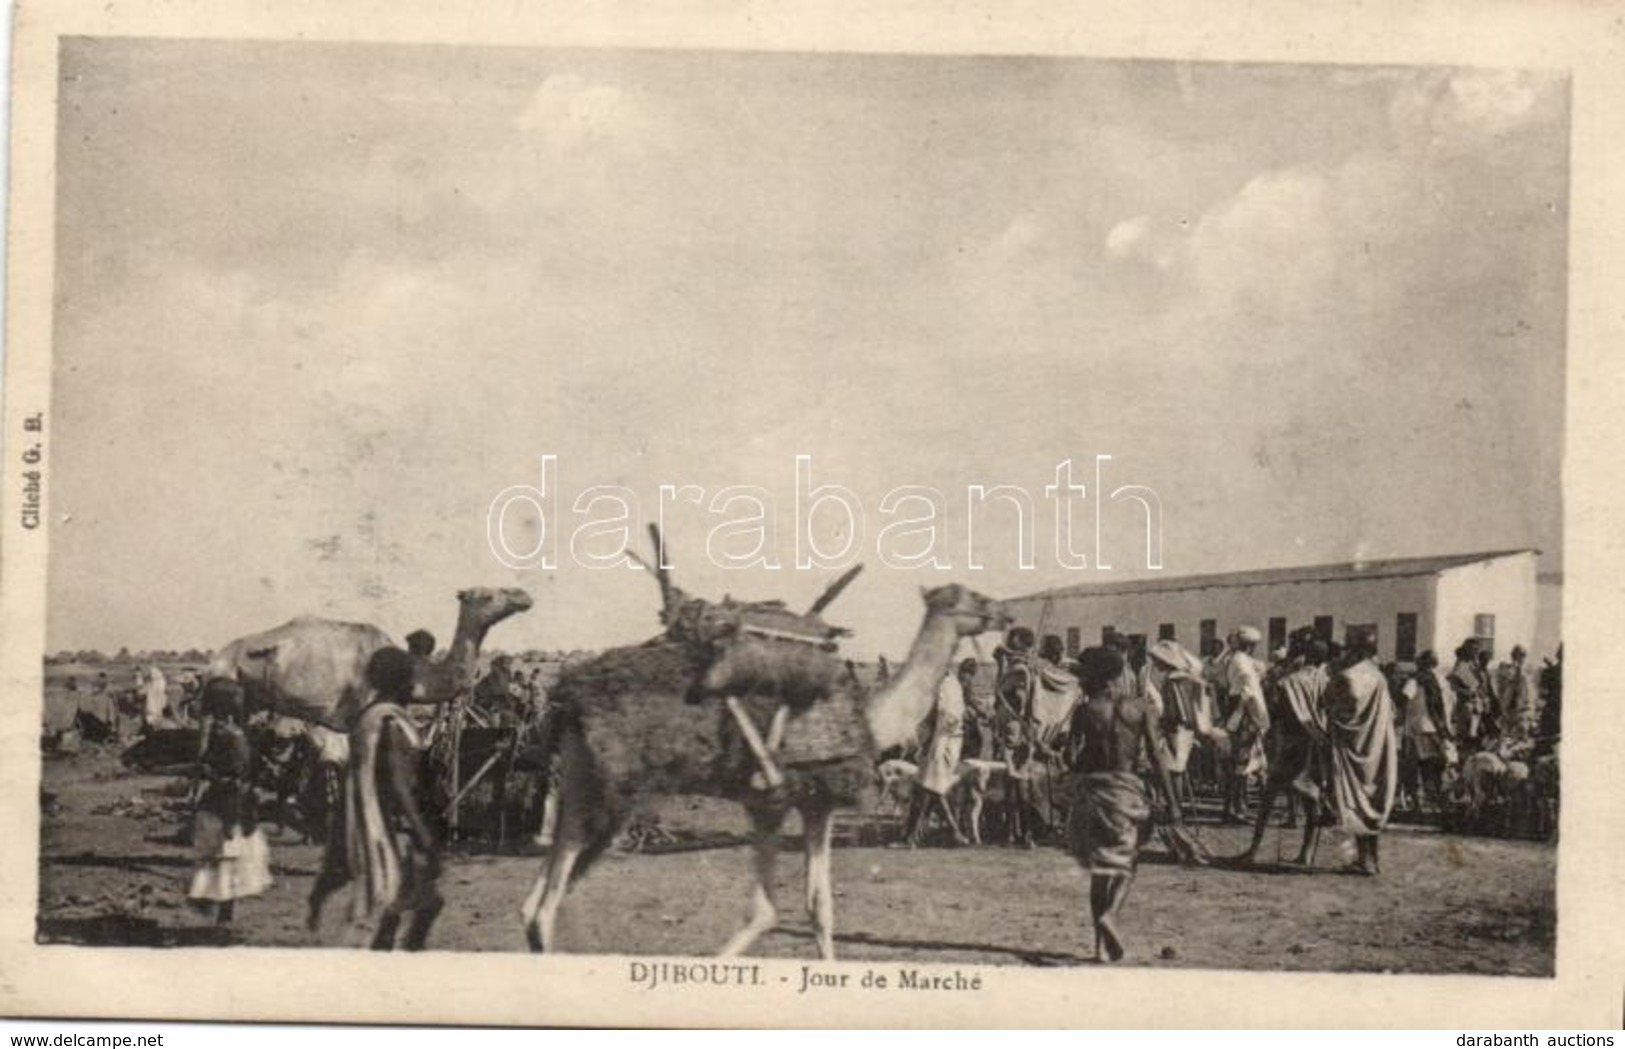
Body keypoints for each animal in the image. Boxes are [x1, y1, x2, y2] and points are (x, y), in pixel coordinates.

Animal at [523, 545, 1001, 967]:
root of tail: (566, 697)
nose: (1001, 611)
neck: (869, 718)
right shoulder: (771, 802)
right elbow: (765, 910)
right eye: (971, 597)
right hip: (608, 786)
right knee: (544, 907)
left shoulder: (815, 804)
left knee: (536, 899)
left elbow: (818, 908)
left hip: (583, 779)